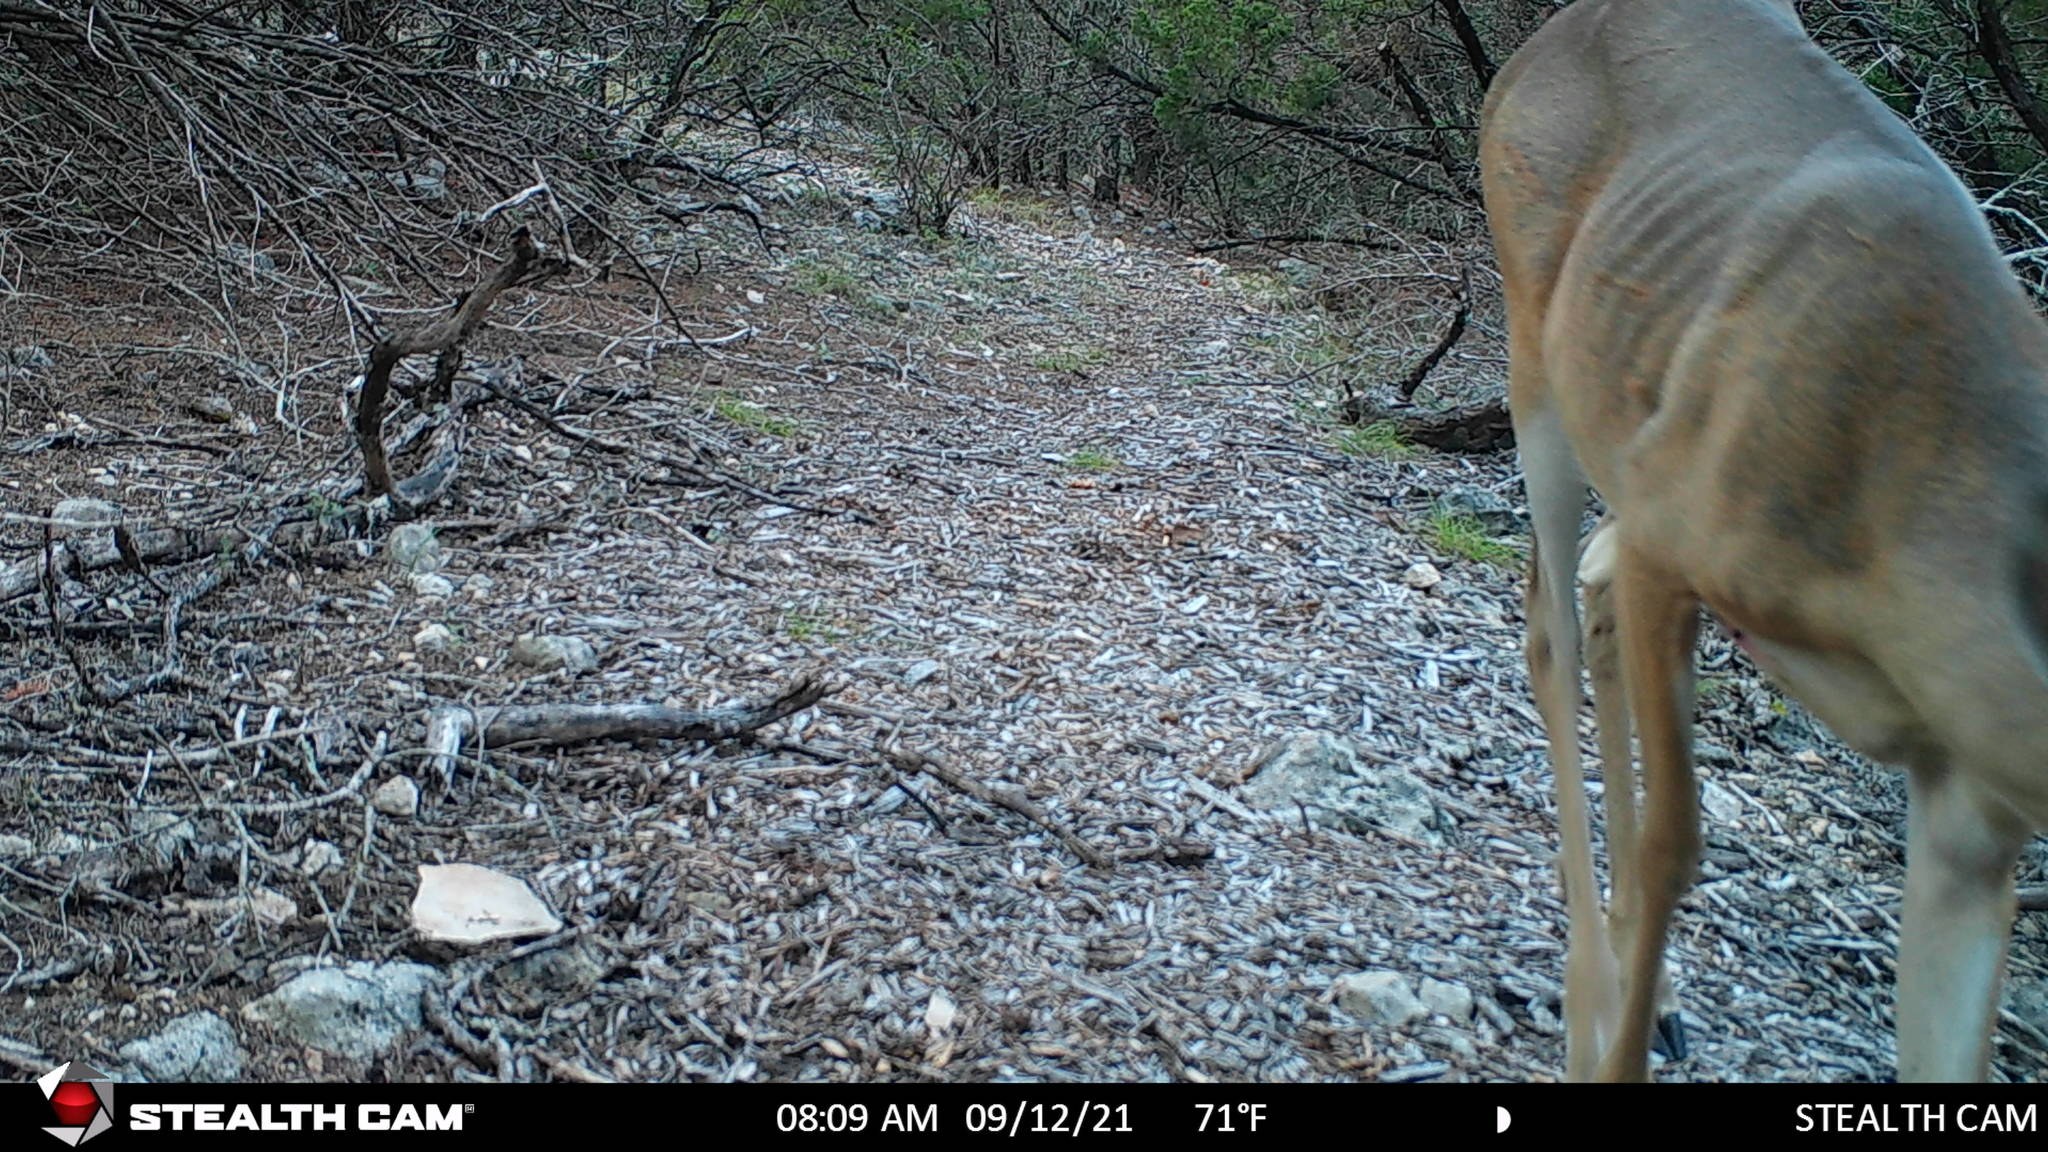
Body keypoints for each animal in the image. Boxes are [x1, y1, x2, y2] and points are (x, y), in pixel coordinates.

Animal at [1480, 0, 2048, 1082]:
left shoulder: (1972, 808)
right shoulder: (1674, 532)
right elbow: (1675, 842)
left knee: (1587, 587)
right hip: (1538, 342)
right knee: (1548, 622)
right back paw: (1591, 999)